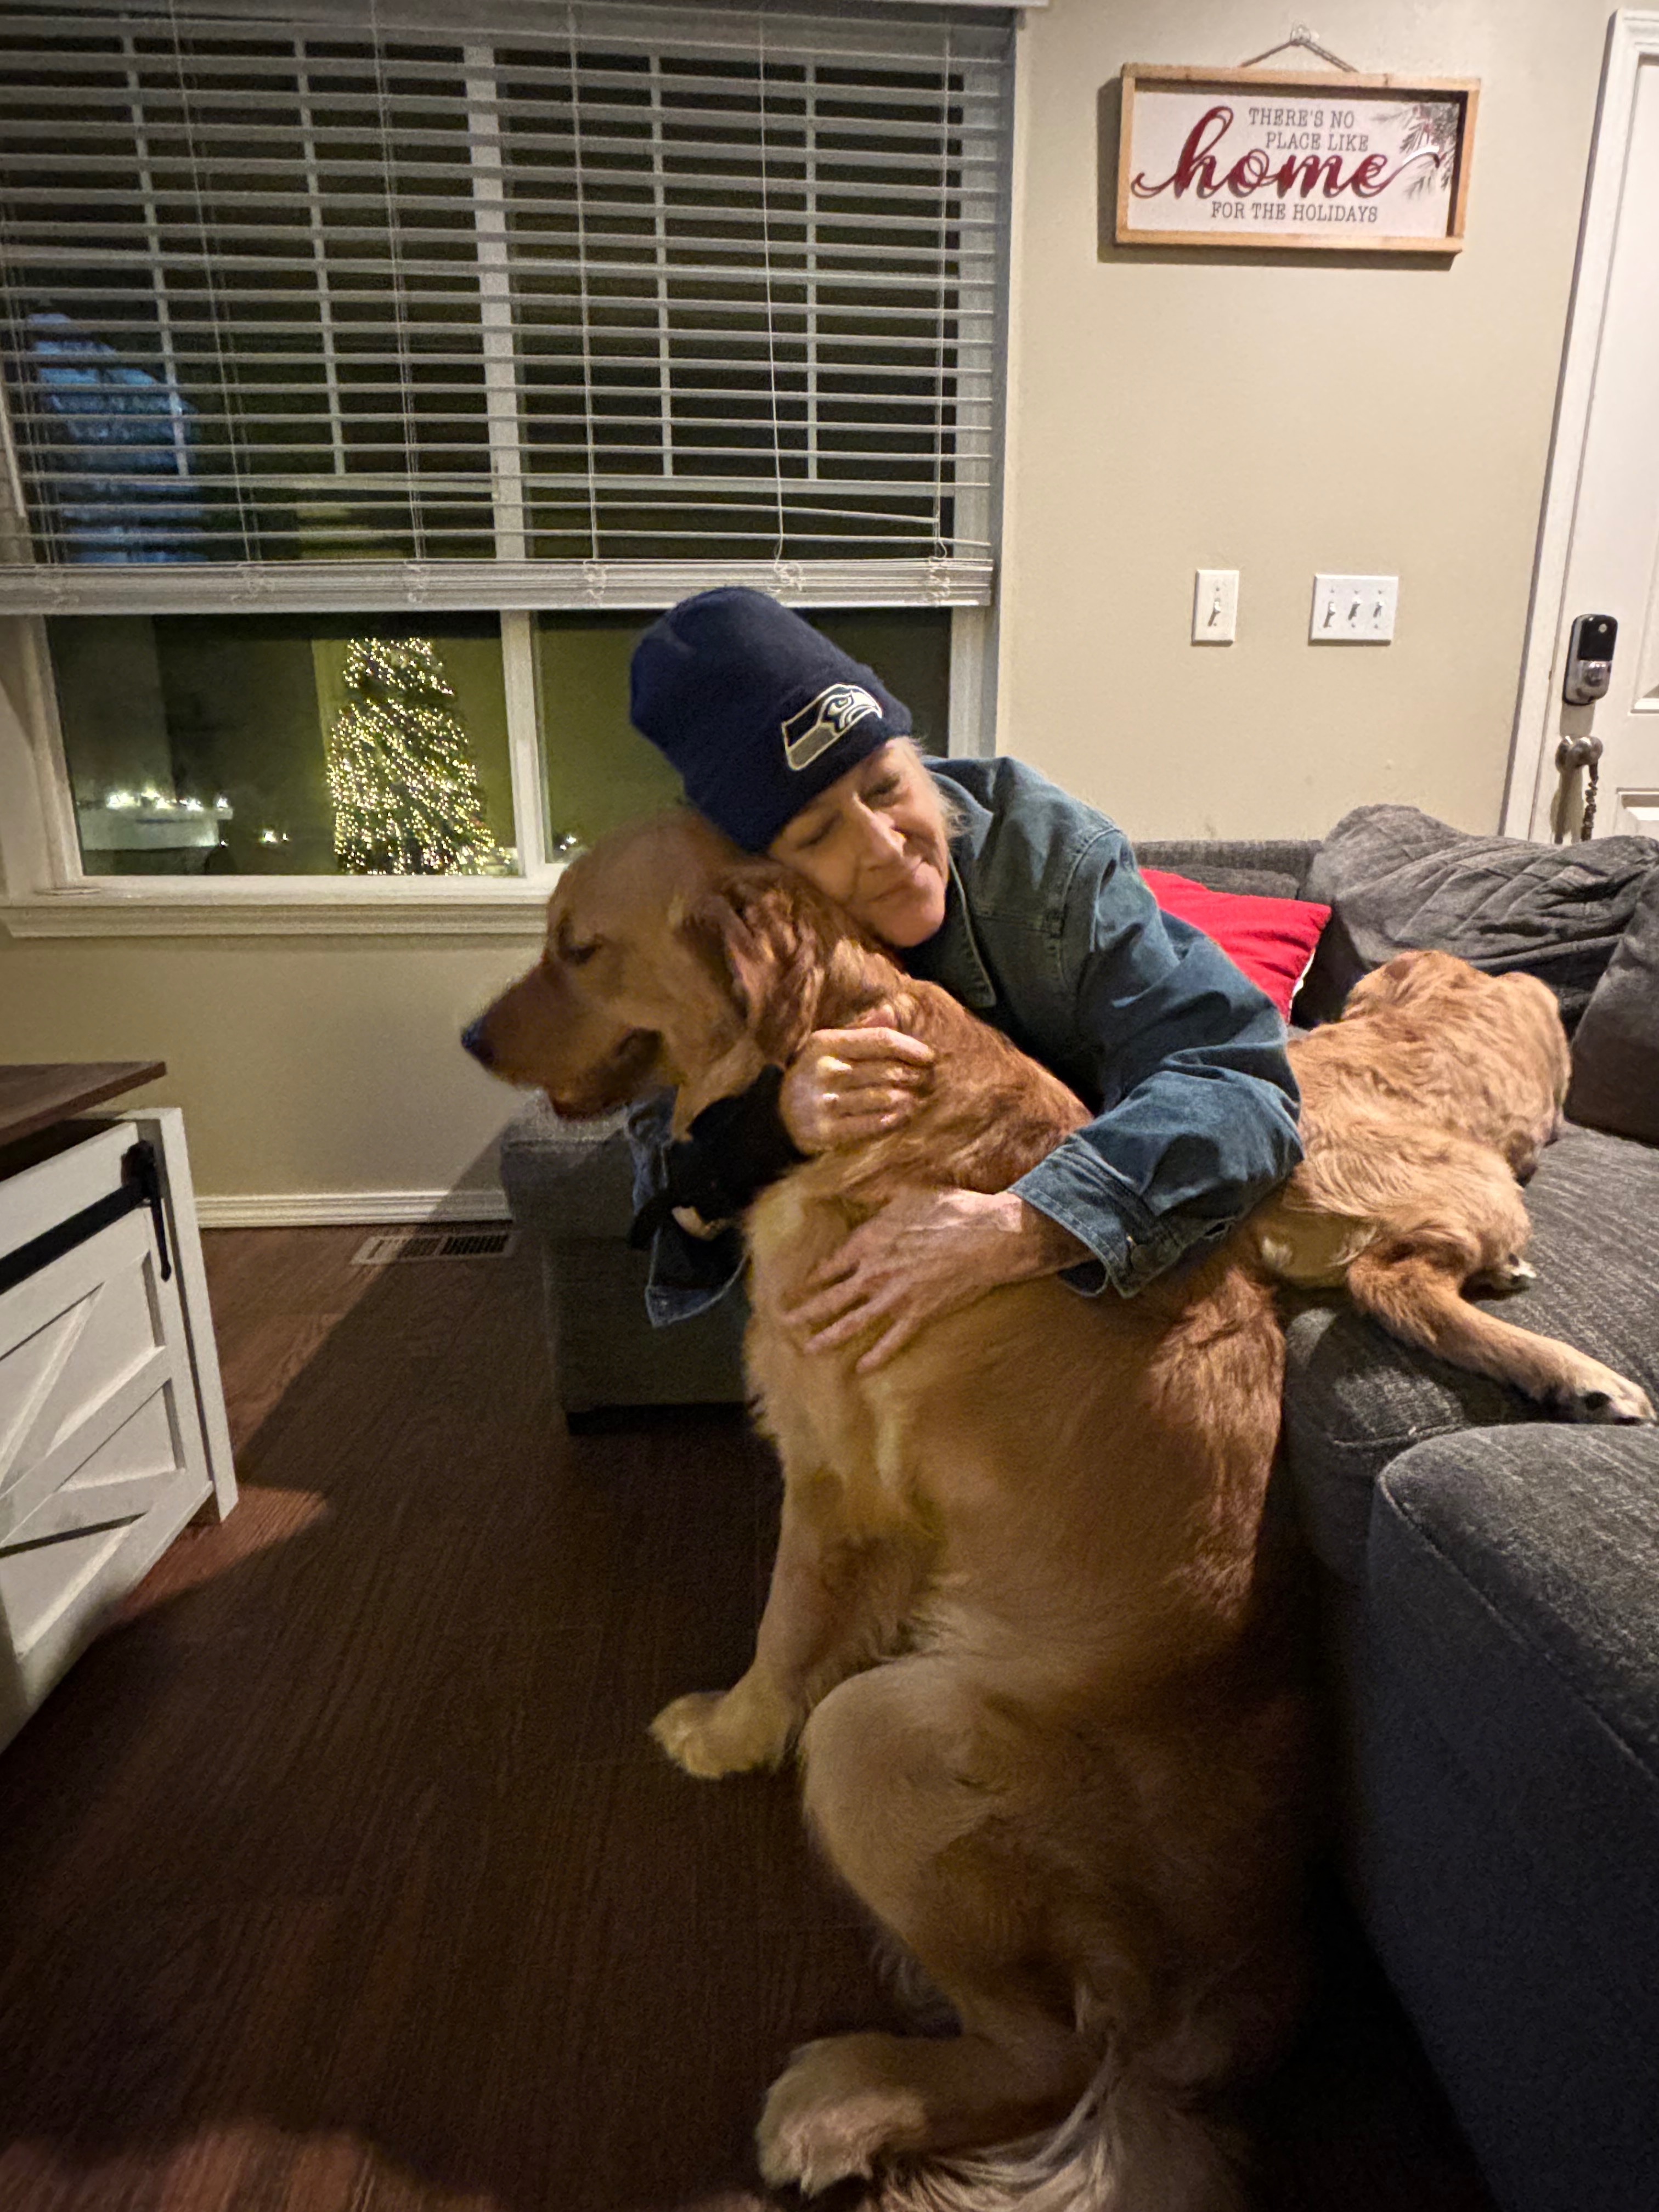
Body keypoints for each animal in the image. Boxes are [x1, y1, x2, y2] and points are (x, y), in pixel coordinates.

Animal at [463, 812, 1649, 2209]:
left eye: (578, 948)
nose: (471, 1042)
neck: (835, 1056)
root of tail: (1215, 2020)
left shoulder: (830, 1472)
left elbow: (786, 1627)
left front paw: (732, 1729)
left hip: (878, 1739)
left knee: (1045, 2053)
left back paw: (844, 2097)